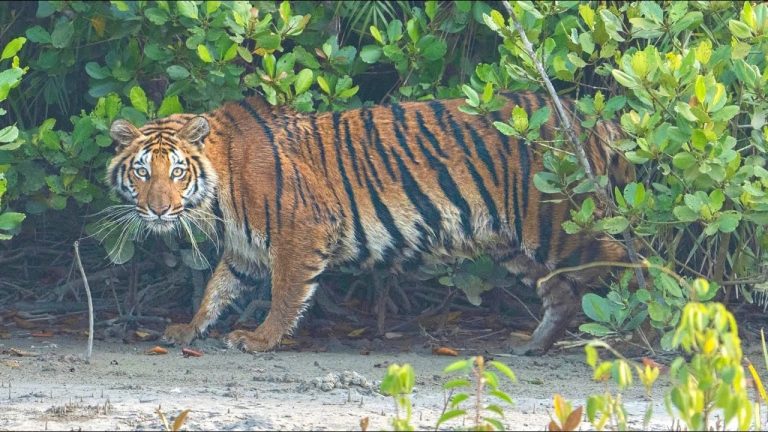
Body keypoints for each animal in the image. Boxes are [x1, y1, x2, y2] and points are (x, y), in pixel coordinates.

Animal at [106, 91, 634, 355]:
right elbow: (217, 289)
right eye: (142, 172)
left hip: (556, 220)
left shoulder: (302, 230)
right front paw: (189, 330)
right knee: (560, 290)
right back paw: (532, 347)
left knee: (627, 256)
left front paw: (259, 340)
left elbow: (285, 294)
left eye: (176, 172)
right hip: (512, 243)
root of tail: (589, 116)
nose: (157, 209)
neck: (217, 192)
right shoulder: (245, 249)